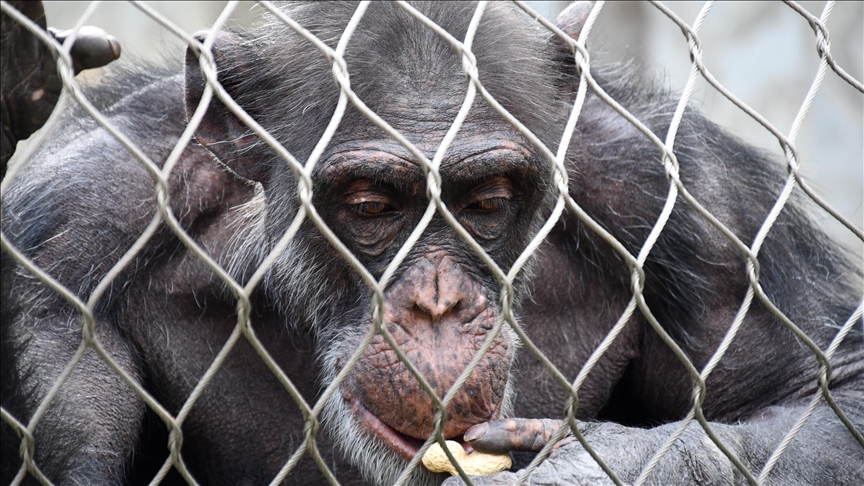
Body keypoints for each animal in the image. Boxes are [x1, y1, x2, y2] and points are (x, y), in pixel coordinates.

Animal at [1, 0, 864, 486]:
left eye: (487, 201)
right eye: (372, 205)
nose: (438, 303)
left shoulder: (695, 204)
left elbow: (827, 392)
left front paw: (592, 468)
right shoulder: (69, 235)